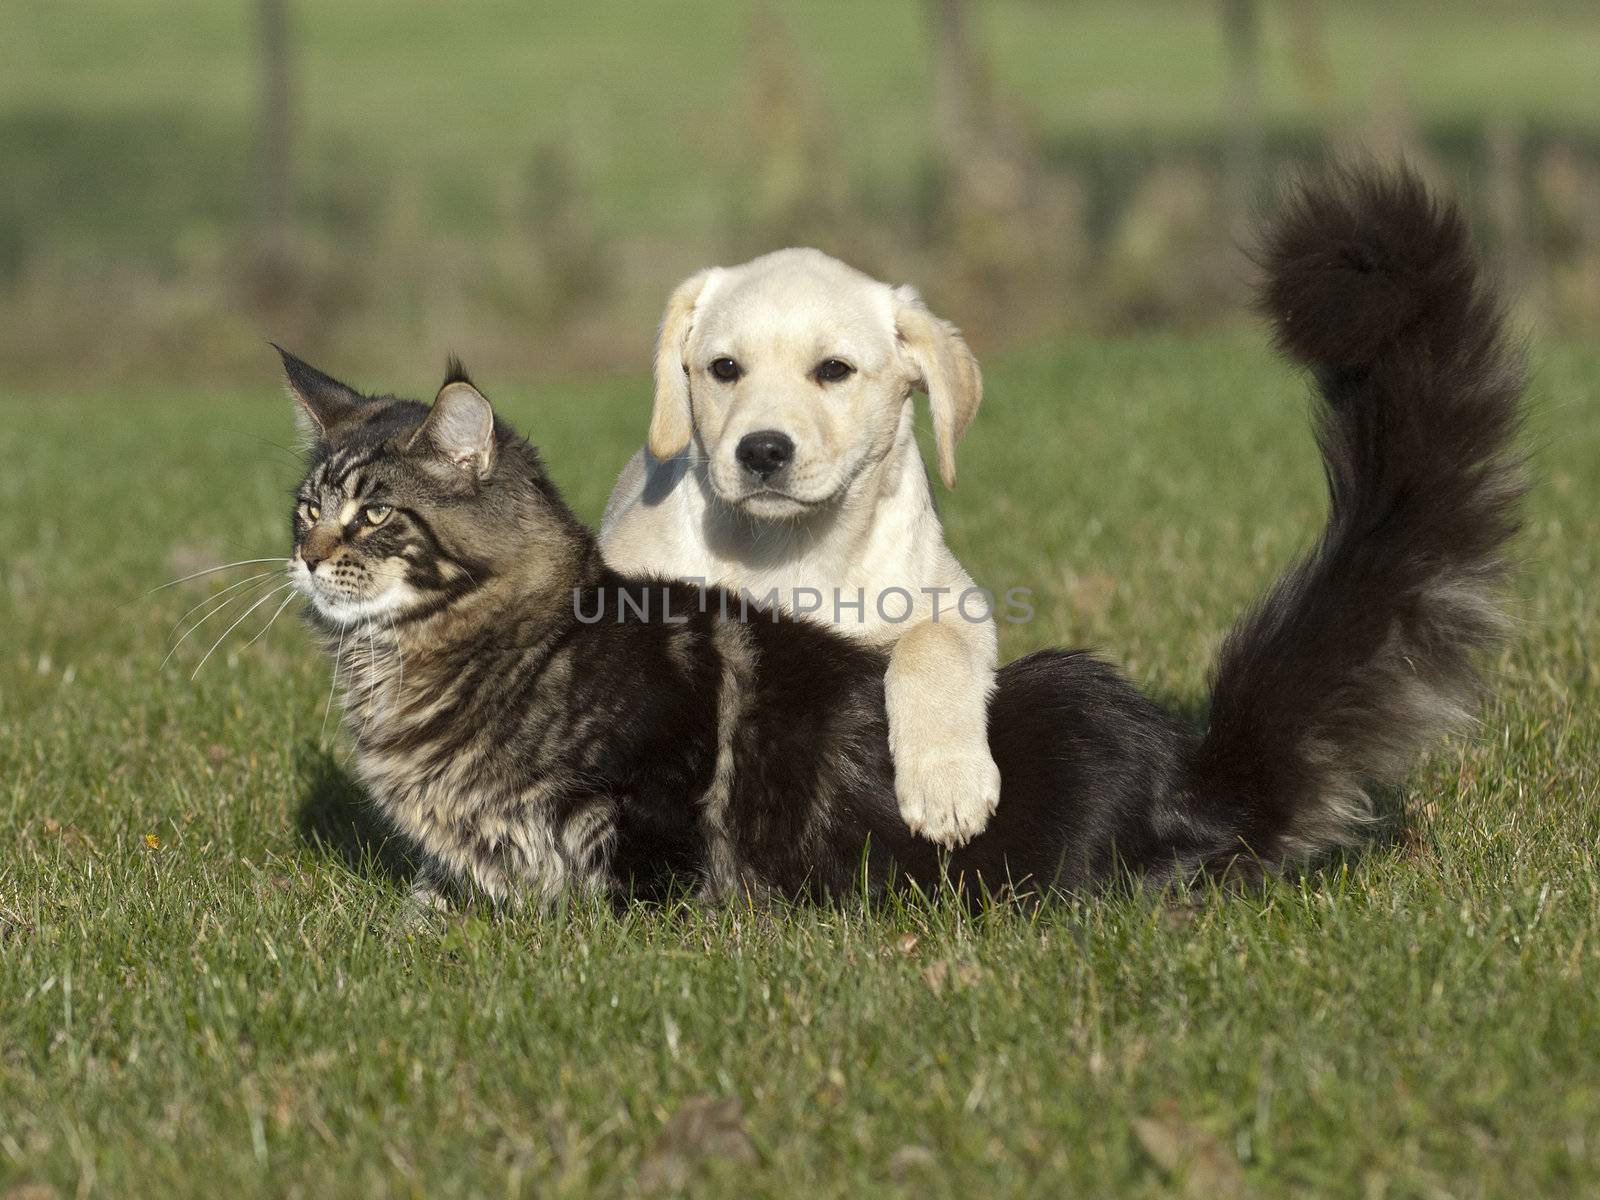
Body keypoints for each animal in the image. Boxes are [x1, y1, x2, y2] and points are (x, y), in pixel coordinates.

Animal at [601, 246, 998, 844]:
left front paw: (948, 783)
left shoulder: (962, 604)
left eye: (834, 370)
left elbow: (931, 644)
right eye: (725, 368)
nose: (762, 450)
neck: (786, 547)